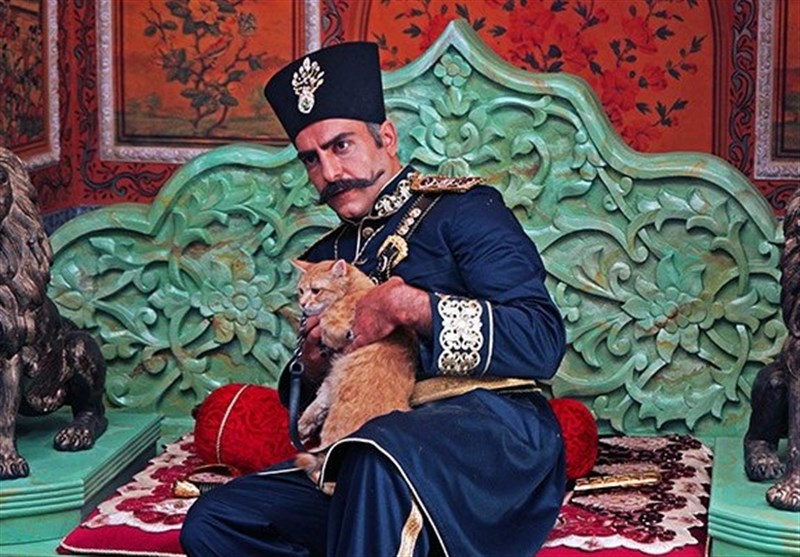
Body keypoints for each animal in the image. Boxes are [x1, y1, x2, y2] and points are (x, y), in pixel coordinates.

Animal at [291, 259, 417, 489]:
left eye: (316, 291)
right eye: (301, 291)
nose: (303, 304)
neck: (356, 289)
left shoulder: (340, 325)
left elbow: (327, 322)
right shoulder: (331, 381)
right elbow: (318, 402)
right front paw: (303, 425)